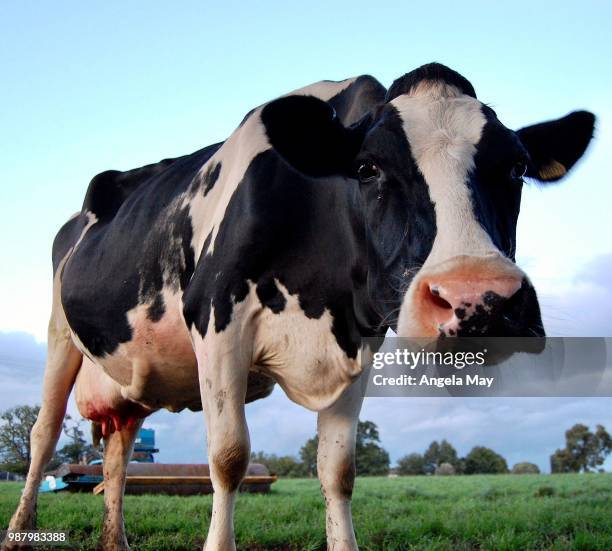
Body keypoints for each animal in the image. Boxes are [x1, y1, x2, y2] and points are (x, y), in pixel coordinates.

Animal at [3, 64, 592, 551]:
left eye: (516, 167)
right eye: (367, 167)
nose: (478, 298)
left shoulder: (359, 341)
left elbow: (338, 470)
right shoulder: (215, 319)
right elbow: (229, 457)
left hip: (130, 379)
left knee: (119, 448)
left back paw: (115, 541)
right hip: (59, 335)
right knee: (42, 435)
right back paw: (18, 533)